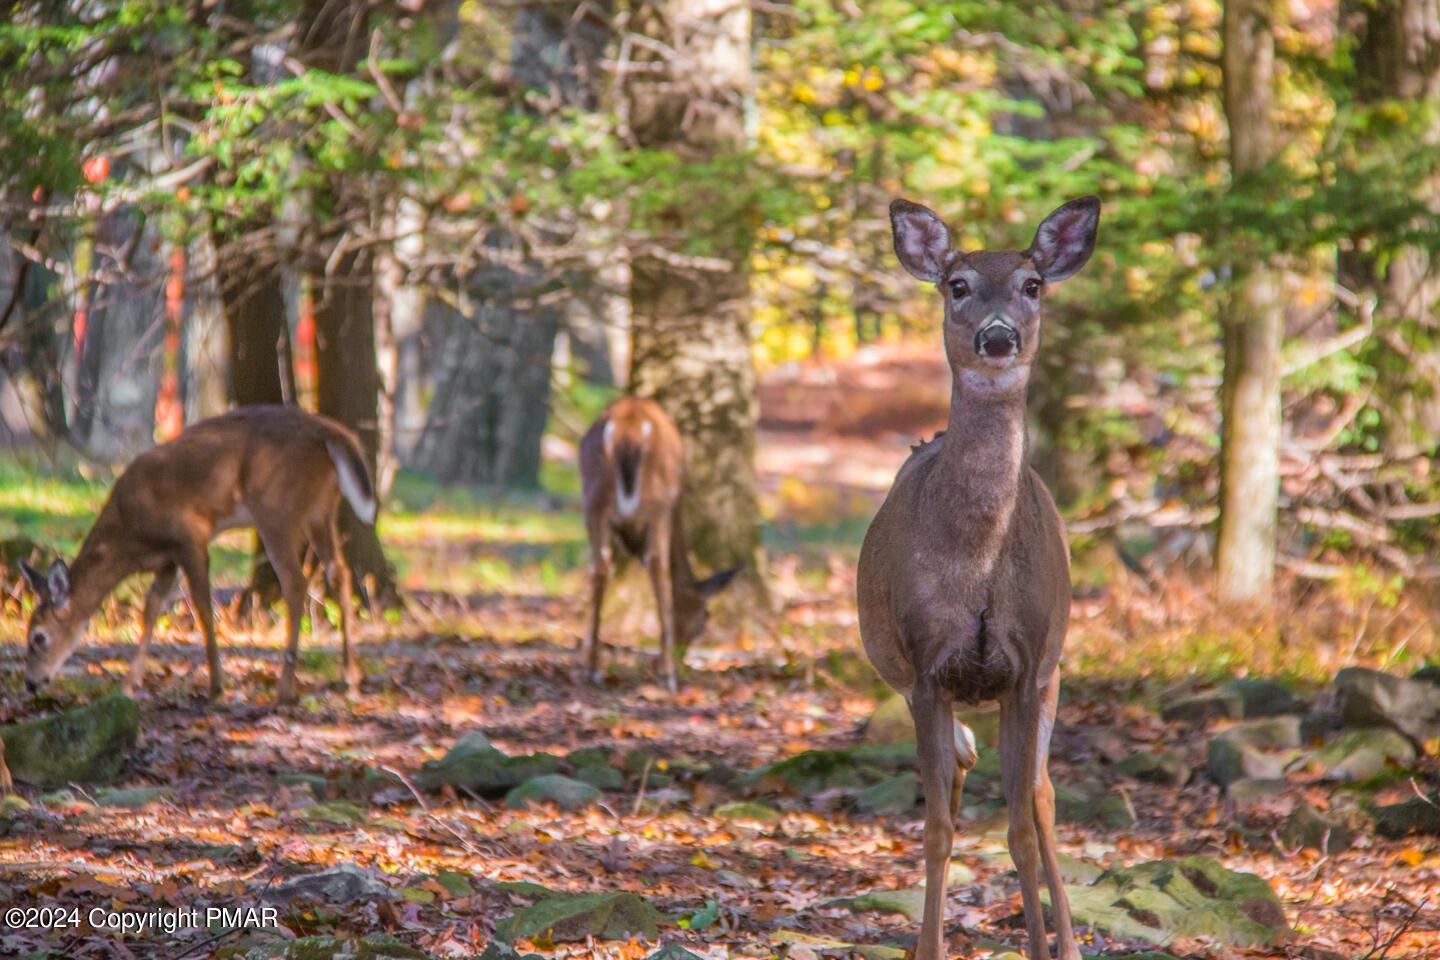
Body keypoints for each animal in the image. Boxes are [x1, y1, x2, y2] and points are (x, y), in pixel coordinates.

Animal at [17, 402, 377, 705]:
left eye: (39, 637)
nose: (31, 683)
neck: (129, 539)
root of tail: (329, 432)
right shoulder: (166, 560)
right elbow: (150, 609)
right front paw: (129, 684)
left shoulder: (190, 535)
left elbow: (203, 608)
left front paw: (217, 686)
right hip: (321, 510)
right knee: (339, 573)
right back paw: (350, 678)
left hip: (276, 509)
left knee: (296, 583)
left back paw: (286, 688)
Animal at [852, 197, 1100, 960]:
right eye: (957, 284)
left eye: (1032, 284)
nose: (997, 337)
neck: (978, 564)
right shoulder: (927, 668)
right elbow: (937, 829)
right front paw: (927, 947)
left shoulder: (1026, 665)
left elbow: (1019, 827)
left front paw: (1042, 949)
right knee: (966, 765)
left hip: (1054, 665)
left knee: (1043, 793)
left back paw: (1067, 944)